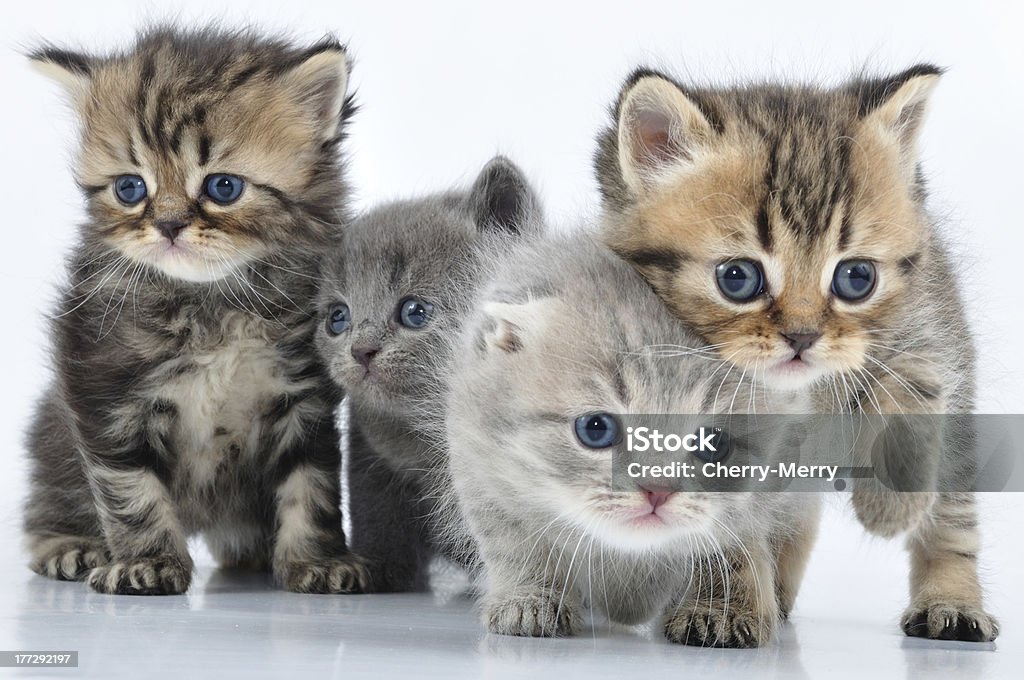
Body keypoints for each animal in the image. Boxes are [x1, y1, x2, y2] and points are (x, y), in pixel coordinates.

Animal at [24, 27, 370, 593]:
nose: (167, 225)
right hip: (52, 438)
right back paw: (69, 545)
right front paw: (146, 562)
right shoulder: (101, 388)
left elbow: (312, 487)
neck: (213, 303)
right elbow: (130, 489)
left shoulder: (306, 400)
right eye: (130, 188)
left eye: (223, 187)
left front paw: (316, 561)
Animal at [315, 156, 544, 593]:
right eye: (338, 318)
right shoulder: (370, 455)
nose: (361, 350)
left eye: (415, 311)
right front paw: (376, 568)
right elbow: (377, 514)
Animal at [444, 231, 819, 647]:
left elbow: (734, 552)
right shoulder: (483, 473)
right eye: (595, 428)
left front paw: (720, 610)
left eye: (713, 443)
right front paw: (530, 599)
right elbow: (518, 548)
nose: (657, 490)